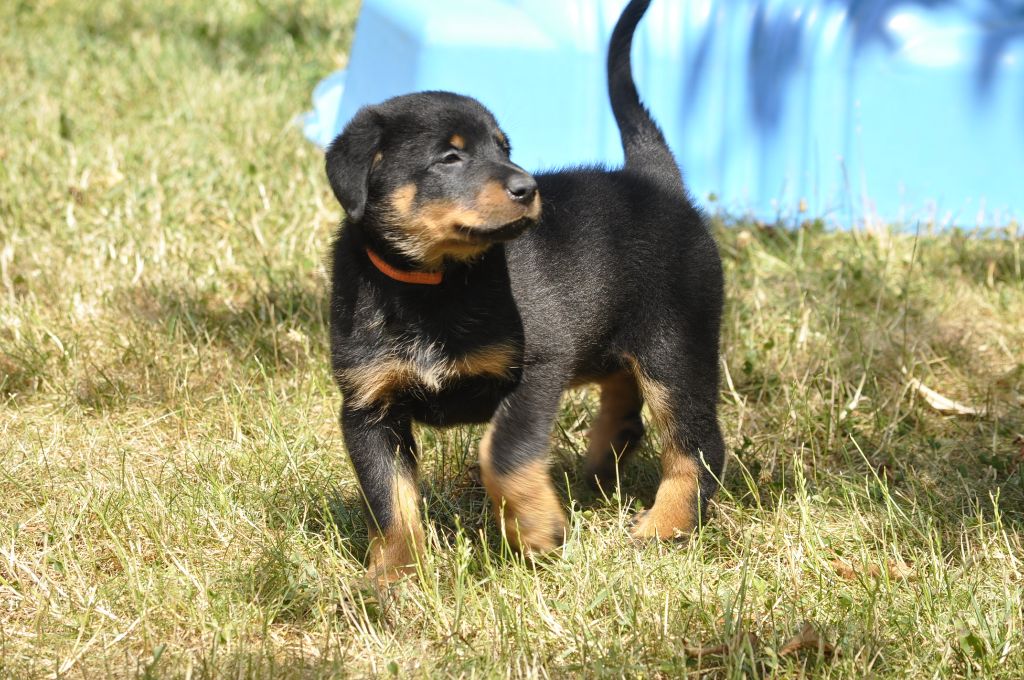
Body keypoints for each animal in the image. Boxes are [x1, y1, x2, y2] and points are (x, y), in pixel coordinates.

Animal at [323, 0, 724, 585]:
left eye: (504, 148)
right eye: (450, 158)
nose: (527, 187)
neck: (434, 285)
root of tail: (656, 182)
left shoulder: (539, 365)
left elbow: (504, 450)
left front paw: (536, 529)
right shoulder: (367, 406)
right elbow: (387, 497)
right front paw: (396, 574)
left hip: (673, 343)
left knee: (696, 444)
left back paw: (664, 526)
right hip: (609, 338)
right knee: (626, 401)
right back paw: (597, 471)